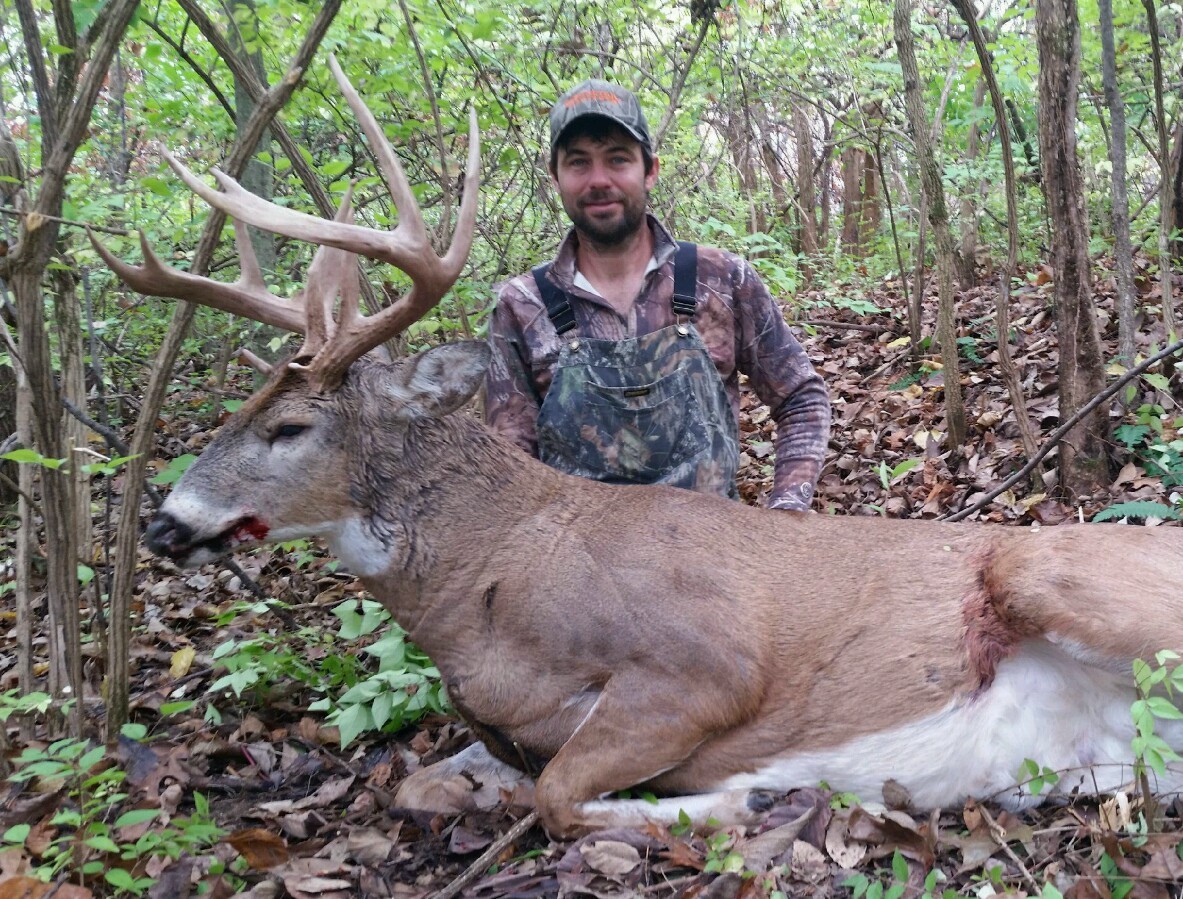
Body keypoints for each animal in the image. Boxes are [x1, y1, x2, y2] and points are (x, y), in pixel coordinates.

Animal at [94, 58, 1183, 840]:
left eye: (289, 426)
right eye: (246, 406)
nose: (165, 522)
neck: (490, 576)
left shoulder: (706, 661)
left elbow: (561, 796)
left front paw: (743, 799)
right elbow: (435, 788)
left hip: (1047, 566)